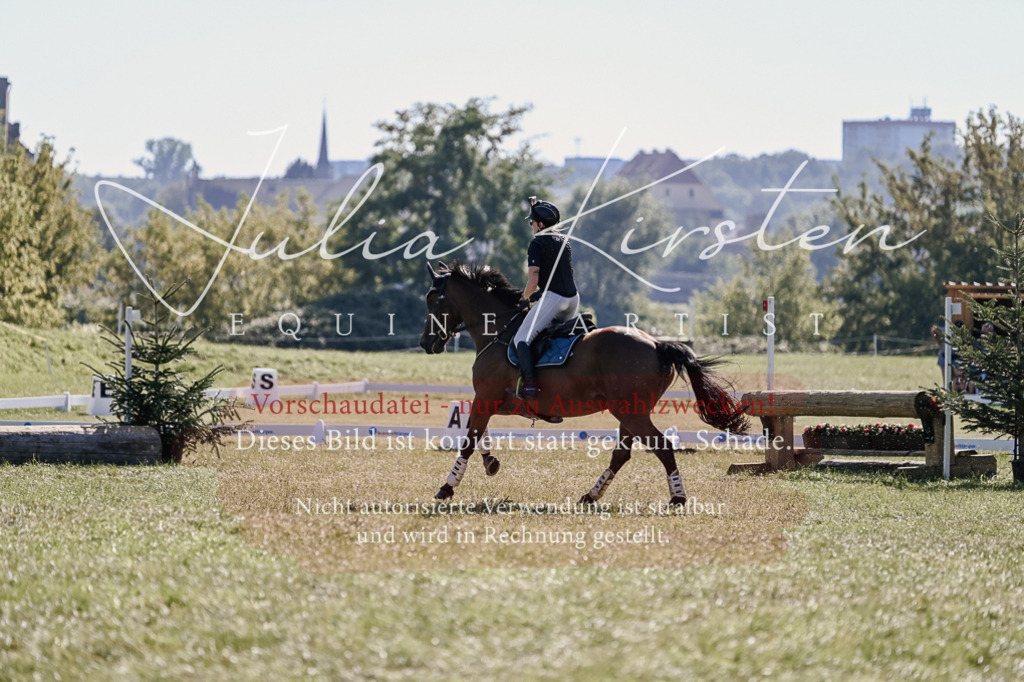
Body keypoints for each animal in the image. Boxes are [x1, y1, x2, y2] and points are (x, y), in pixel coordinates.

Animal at [419, 261, 749, 507]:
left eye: (432, 299)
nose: (425, 343)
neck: (497, 330)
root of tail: (658, 344)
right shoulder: (493, 401)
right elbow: (478, 433)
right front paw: (490, 463)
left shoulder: (486, 398)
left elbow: (469, 439)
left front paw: (447, 487)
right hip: (629, 411)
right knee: (622, 454)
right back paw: (591, 495)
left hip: (631, 412)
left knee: (662, 447)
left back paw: (677, 497)